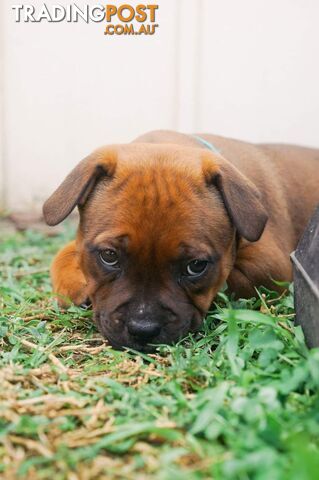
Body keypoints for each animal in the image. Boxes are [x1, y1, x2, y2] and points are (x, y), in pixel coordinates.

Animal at [43, 129, 319, 350]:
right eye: (109, 256)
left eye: (196, 266)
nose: (143, 329)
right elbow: (62, 254)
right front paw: (73, 285)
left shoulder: (270, 271)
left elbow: (227, 283)